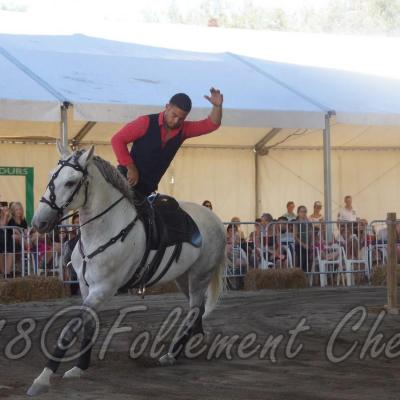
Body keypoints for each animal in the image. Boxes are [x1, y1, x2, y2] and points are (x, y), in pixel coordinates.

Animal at [27, 144, 227, 396]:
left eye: (71, 182)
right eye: (51, 176)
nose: (39, 223)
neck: (105, 229)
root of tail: (216, 220)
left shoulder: (103, 289)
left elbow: (70, 329)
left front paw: (42, 378)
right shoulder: (86, 288)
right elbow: (88, 325)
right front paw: (79, 367)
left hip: (200, 276)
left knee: (193, 311)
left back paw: (172, 354)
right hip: (184, 278)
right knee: (198, 310)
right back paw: (191, 345)